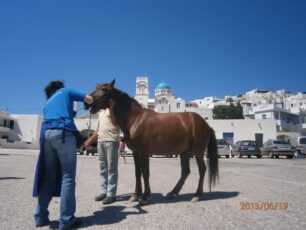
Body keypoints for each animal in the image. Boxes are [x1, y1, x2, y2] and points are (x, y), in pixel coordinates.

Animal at [85, 79, 219, 205]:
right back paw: (172, 192)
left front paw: (145, 197)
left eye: (104, 89)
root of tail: (206, 124)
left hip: (198, 151)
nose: (86, 102)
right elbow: (138, 172)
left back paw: (197, 195)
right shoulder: (136, 152)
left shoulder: (144, 152)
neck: (136, 119)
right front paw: (136, 195)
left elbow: (145, 173)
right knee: (185, 171)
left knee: (202, 169)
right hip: (185, 152)